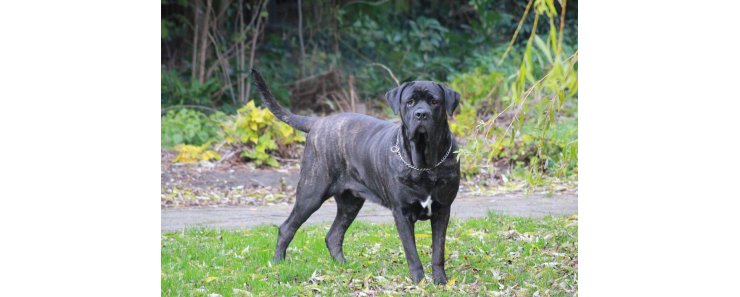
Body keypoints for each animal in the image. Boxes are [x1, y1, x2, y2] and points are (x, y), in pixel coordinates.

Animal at [251, 69, 460, 284]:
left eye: (434, 101)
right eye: (410, 102)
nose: (421, 114)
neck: (425, 165)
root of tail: (319, 121)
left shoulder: (442, 210)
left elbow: (438, 251)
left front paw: (440, 281)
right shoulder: (402, 213)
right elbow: (412, 252)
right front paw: (419, 281)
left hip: (350, 203)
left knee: (334, 235)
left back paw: (343, 266)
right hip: (311, 194)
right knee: (287, 228)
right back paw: (277, 263)